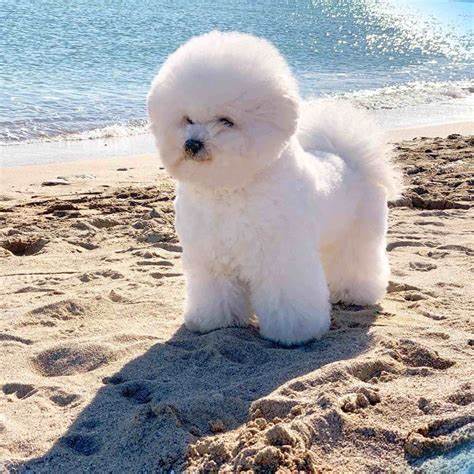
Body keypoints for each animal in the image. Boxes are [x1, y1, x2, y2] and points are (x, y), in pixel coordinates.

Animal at [147, 31, 400, 346]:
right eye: (187, 120)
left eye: (226, 121)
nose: (192, 144)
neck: (229, 187)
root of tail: (348, 159)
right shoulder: (211, 258)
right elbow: (215, 294)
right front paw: (215, 322)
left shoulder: (281, 257)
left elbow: (287, 296)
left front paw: (295, 332)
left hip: (359, 235)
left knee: (359, 262)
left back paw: (355, 293)